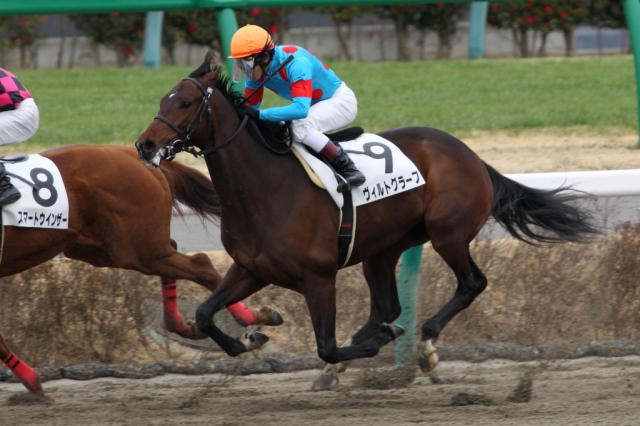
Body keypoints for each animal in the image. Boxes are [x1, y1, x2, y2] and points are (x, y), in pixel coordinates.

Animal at [0, 144, 282, 400]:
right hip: (104, 248)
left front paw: (33, 383)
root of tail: (133, 154)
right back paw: (190, 325)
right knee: (177, 253)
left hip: (137, 249)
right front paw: (33, 382)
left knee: (200, 264)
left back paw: (247, 321)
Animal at [135, 51, 600, 389]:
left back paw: (424, 344)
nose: (145, 145)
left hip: (447, 233)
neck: (265, 189)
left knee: (471, 283)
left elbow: (326, 345)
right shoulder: (252, 268)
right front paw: (249, 338)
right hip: (384, 248)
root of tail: (469, 154)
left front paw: (374, 344)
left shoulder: (319, 277)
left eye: (186, 102)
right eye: (161, 101)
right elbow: (206, 313)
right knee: (388, 304)